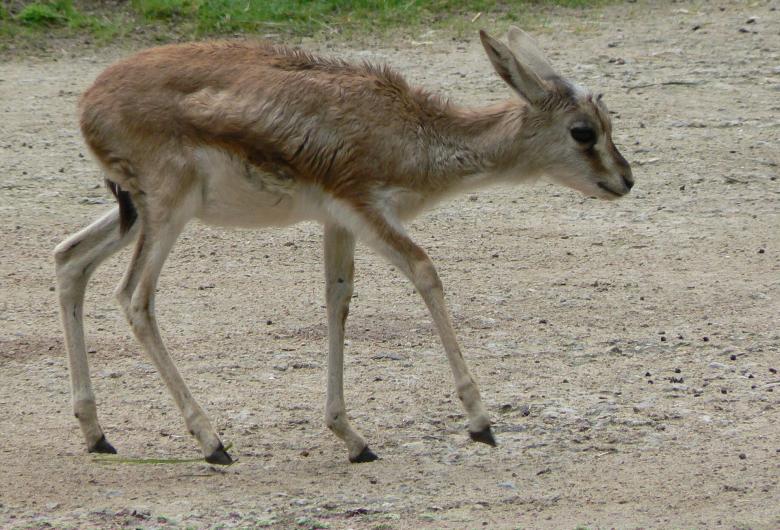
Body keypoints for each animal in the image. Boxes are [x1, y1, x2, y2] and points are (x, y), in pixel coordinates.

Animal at [54, 27, 633, 465]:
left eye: (608, 124)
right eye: (583, 132)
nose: (625, 180)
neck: (409, 133)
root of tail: (88, 101)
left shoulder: (338, 222)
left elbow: (337, 300)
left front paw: (351, 437)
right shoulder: (364, 207)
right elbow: (425, 272)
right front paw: (480, 422)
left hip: (139, 214)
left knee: (69, 259)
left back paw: (97, 434)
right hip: (168, 211)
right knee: (135, 299)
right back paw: (212, 441)